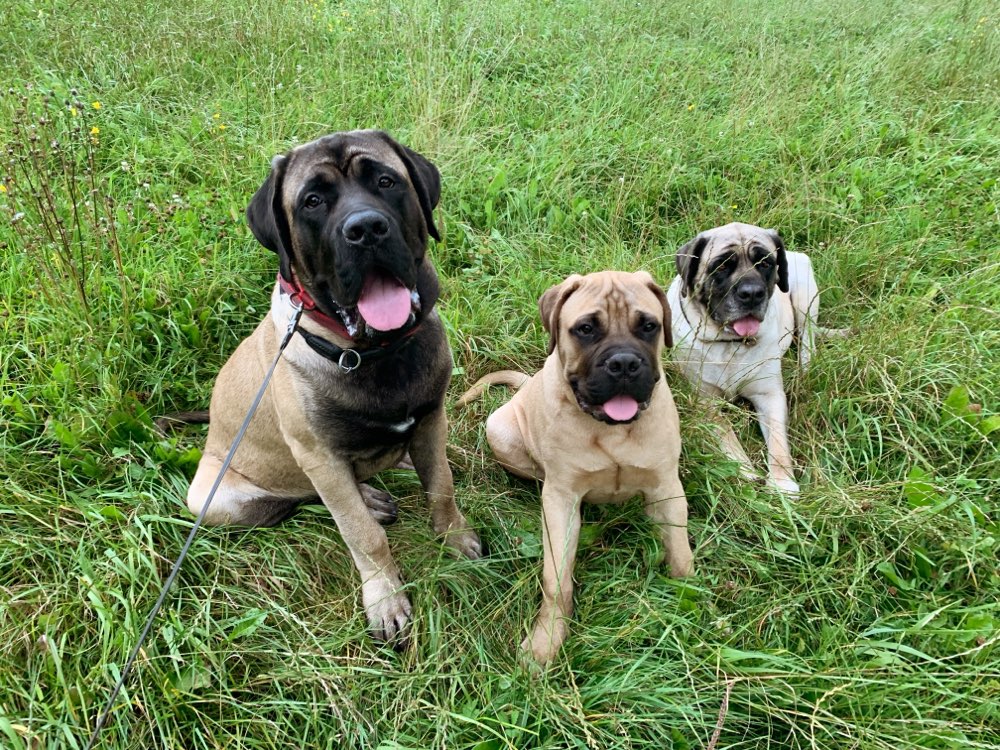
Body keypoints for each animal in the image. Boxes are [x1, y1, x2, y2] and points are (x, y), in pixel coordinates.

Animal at [188, 132, 484, 648]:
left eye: (386, 181)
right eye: (312, 201)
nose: (366, 229)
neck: (374, 352)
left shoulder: (432, 416)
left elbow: (441, 487)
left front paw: (453, 536)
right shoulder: (320, 455)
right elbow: (361, 534)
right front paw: (385, 599)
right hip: (216, 499)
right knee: (302, 497)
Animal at [460, 274, 696, 668]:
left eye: (648, 326)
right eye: (586, 329)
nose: (624, 363)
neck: (611, 429)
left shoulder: (666, 487)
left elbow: (679, 550)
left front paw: (690, 597)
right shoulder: (561, 501)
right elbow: (556, 579)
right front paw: (546, 641)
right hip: (500, 431)